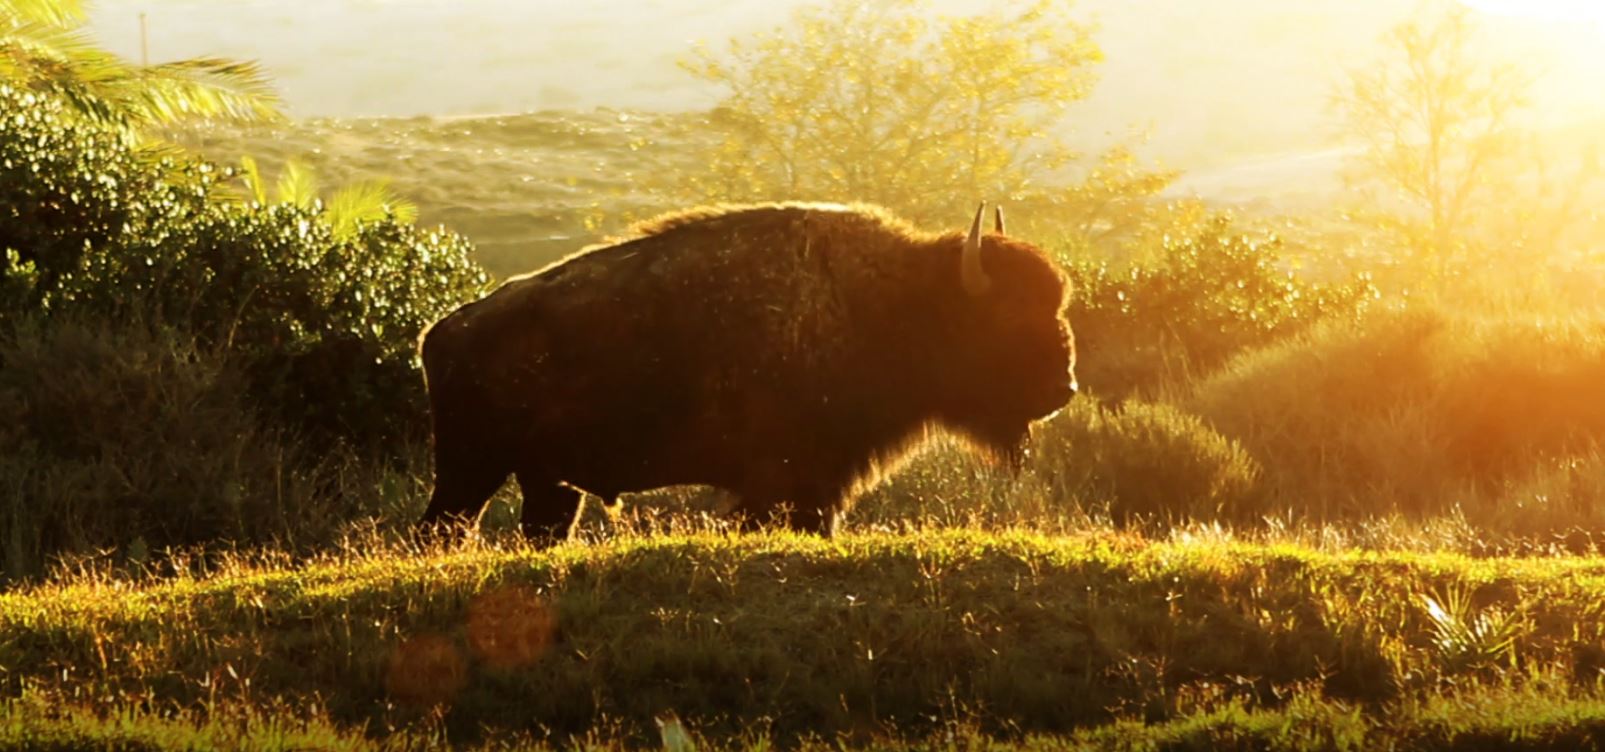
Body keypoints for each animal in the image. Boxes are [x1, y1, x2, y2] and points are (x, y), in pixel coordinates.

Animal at [420, 199, 1084, 538]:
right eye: (1004, 317)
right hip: (469, 472)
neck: (889, 300)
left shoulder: (822, 478)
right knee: (444, 526)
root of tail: (443, 332)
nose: (1064, 387)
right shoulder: (784, 480)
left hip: (549, 484)